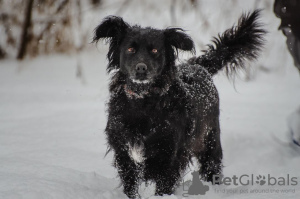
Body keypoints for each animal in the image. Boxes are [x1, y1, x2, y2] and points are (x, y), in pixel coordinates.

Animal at [93, 10, 264, 198]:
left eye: (155, 50)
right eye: (130, 49)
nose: (141, 68)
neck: (143, 102)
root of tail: (198, 66)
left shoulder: (170, 157)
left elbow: (163, 187)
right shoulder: (124, 154)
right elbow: (130, 187)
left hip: (209, 142)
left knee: (212, 168)